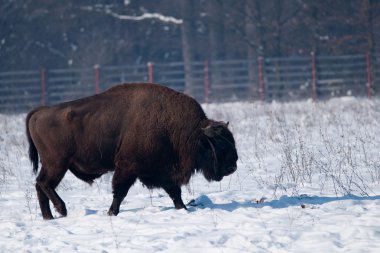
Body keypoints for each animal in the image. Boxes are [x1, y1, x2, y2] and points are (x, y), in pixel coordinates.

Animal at [26, 83, 238, 219]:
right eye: (220, 144)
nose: (233, 166)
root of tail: (40, 111)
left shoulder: (163, 172)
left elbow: (175, 193)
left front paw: (183, 208)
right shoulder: (127, 168)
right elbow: (119, 191)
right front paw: (111, 213)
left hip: (53, 165)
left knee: (40, 185)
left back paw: (49, 217)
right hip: (57, 164)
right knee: (44, 183)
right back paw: (61, 210)